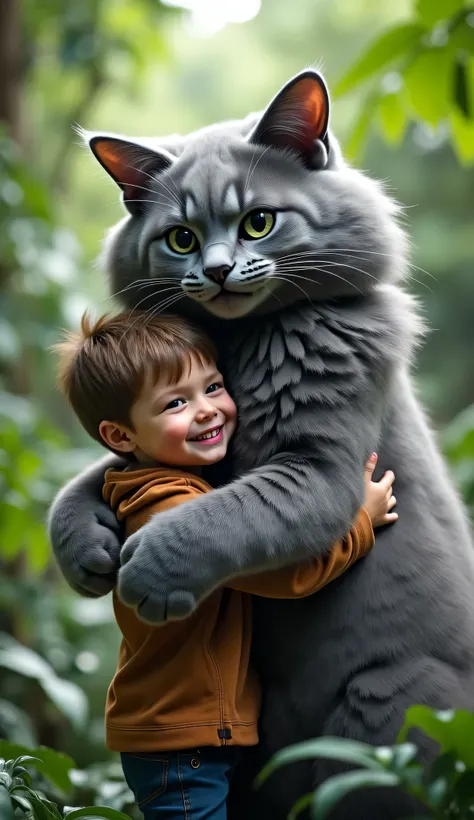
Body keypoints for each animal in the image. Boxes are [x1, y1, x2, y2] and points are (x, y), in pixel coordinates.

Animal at [49, 73, 474, 816]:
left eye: (258, 222)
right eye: (181, 238)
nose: (218, 271)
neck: (250, 340)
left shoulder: (318, 474)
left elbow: (225, 515)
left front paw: (146, 575)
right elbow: (99, 472)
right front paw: (85, 550)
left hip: (383, 725)